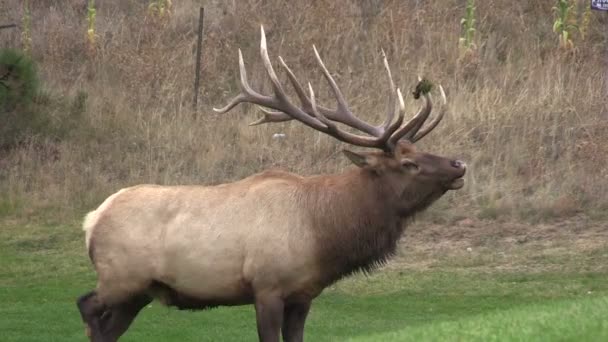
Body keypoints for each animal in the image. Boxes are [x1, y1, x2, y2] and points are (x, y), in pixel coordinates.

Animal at [76, 27, 466, 342]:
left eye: (418, 150)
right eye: (408, 164)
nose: (459, 164)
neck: (324, 234)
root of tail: (92, 219)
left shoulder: (303, 295)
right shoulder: (267, 287)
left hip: (140, 291)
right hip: (121, 276)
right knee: (87, 308)